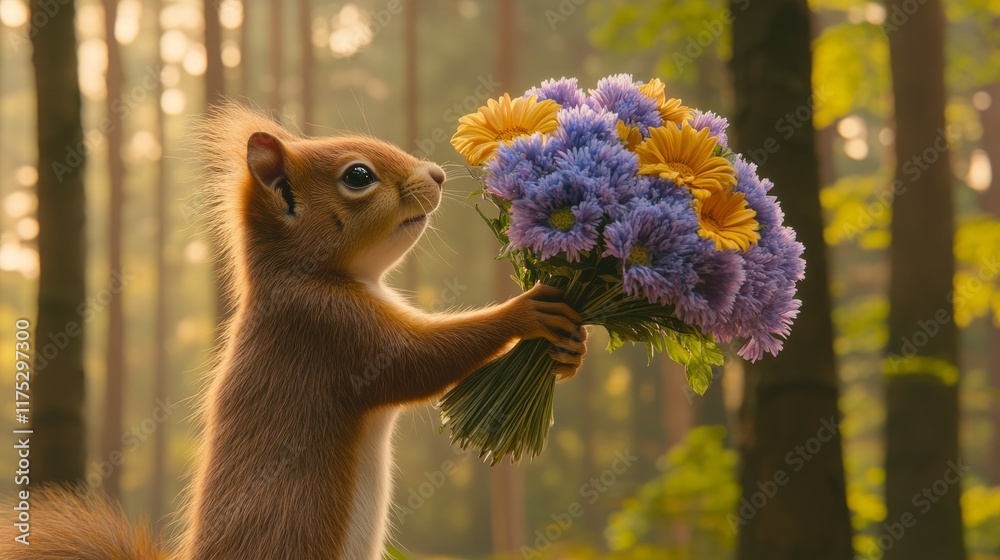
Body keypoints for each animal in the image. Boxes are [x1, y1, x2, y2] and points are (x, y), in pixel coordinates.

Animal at [1, 102, 587, 560]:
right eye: (358, 176)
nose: (438, 175)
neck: (305, 276)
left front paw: (570, 353)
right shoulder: (330, 332)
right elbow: (419, 361)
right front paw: (526, 311)